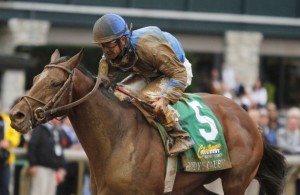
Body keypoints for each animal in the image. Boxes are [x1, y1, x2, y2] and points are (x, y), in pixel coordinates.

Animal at [9, 50, 286, 195]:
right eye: (35, 78)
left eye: (55, 83)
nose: (16, 115)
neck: (118, 139)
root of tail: (250, 120)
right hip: (194, 186)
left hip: (236, 181)